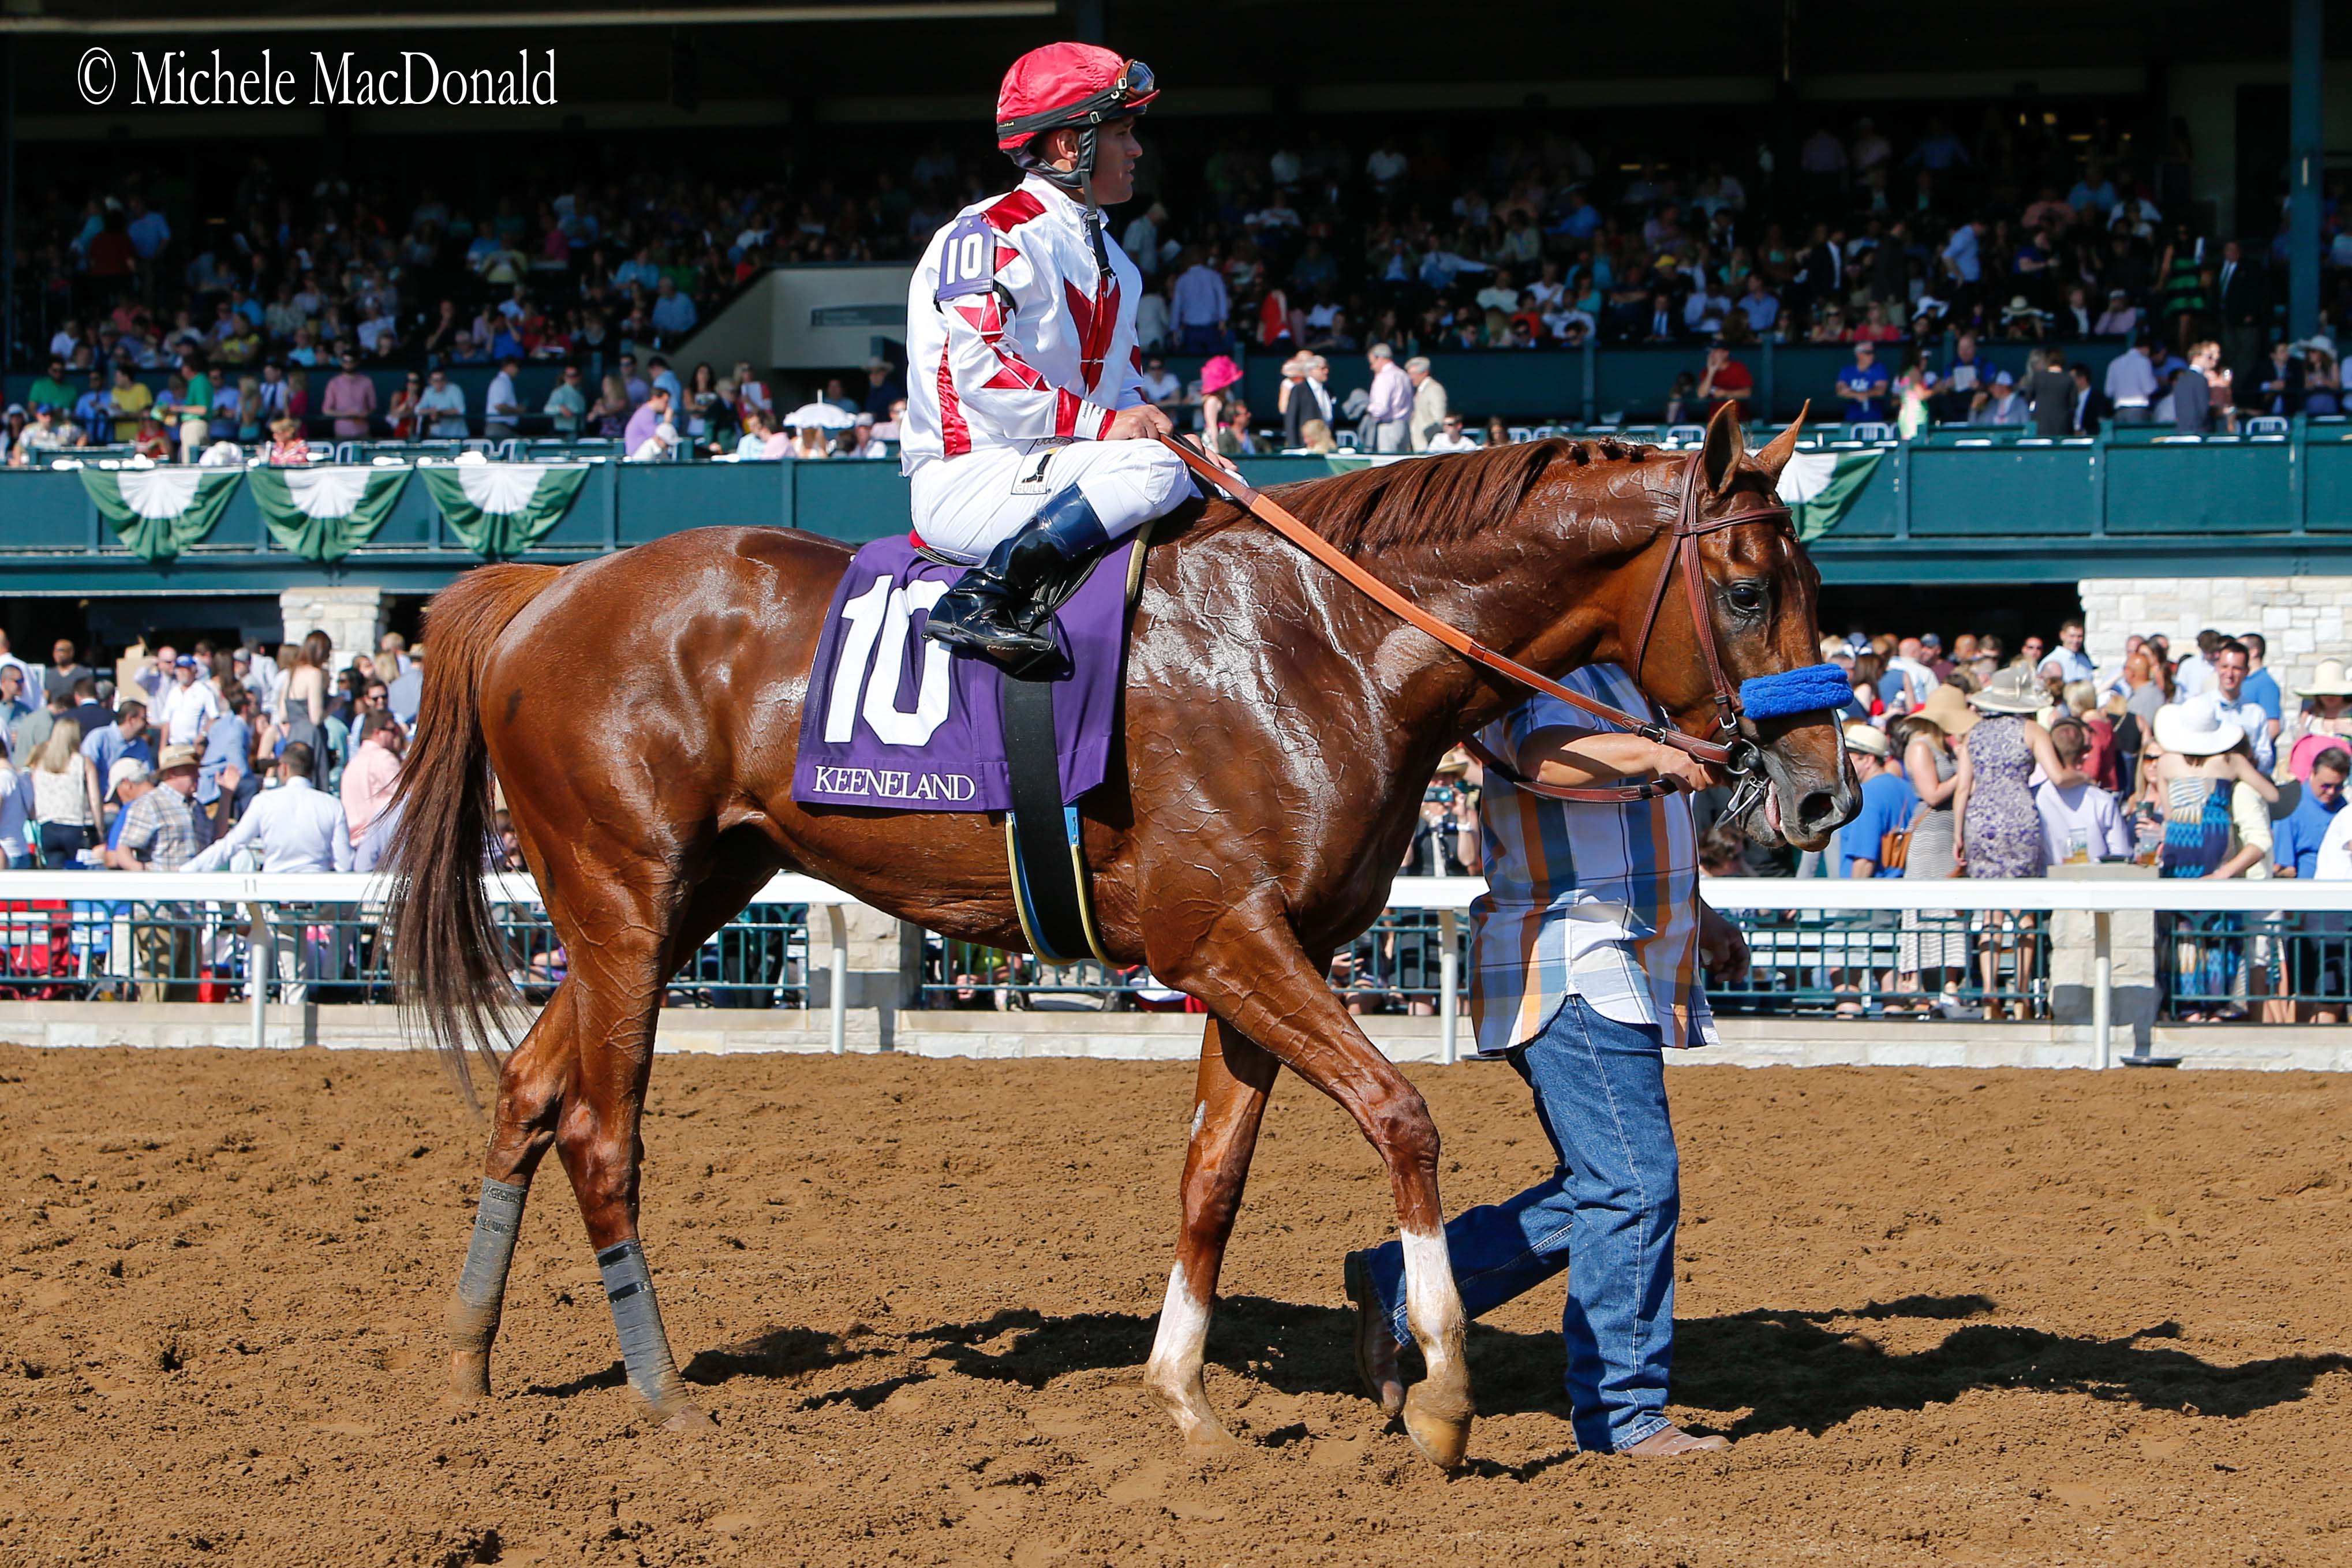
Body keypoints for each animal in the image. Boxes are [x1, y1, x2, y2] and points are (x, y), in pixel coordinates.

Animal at [386, 404, 1853, 1476]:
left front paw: (1191, 1400)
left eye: (1813, 577)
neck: (1327, 642)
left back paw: (465, 1357)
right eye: (1741, 589)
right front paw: (1439, 1395)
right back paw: (659, 1394)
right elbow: (1402, 1114)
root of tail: (540, 591)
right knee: (600, 1128)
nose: (1824, 793)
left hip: (681, 890)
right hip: (625, 895)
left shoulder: (1257, 955)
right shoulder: (1230, 941)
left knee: (527, 1092)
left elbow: (1214, 1176)